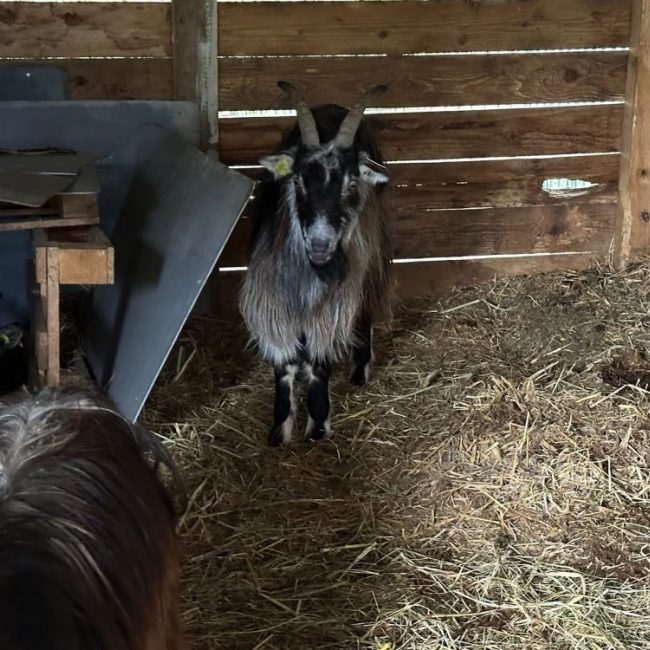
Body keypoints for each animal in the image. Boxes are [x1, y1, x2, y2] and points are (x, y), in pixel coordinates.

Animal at [240, 81, 393, 446]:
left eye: (351, 183)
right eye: (296, 181)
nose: (320, 244)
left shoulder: (334, 302)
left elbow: (319, 361)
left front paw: (318, 425)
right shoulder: (273, 301)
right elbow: (284, 365)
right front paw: (280, 429)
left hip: (371, 252)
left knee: (367, 302)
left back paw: (359, 370)